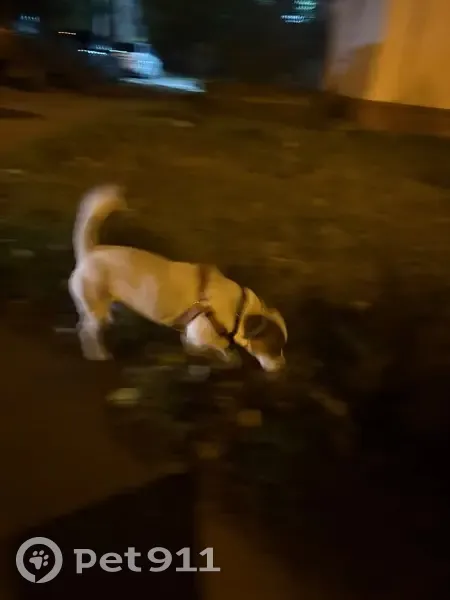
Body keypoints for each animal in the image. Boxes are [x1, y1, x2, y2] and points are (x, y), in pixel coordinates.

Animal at [68, 185, 287, 372]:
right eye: (273, 347)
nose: (283, 368)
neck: (239, 310)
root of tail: (90, 252)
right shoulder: (199, 336)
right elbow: (220, 350)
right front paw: (226, 359)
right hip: (96, 311)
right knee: (87, 331)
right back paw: (98, 355)